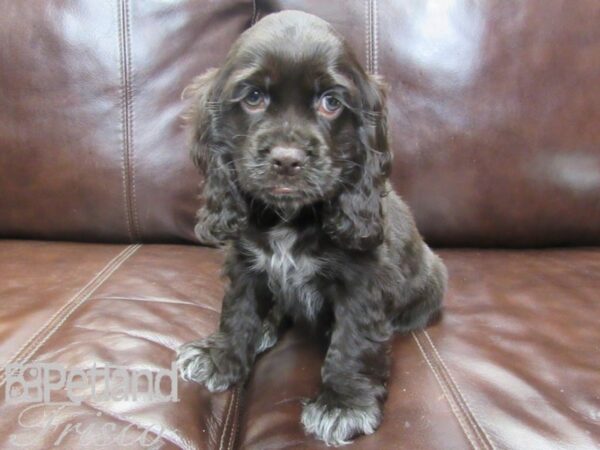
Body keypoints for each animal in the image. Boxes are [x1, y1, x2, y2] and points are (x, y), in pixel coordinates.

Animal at [176, 9, 448, 446]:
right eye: (253, 97)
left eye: (331, 102)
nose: (287, 160)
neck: (290, 217)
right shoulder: (246, 264)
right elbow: (238, 310)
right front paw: (221, 357)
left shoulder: (362, 281)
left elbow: (353, 339)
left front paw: (344, 404)